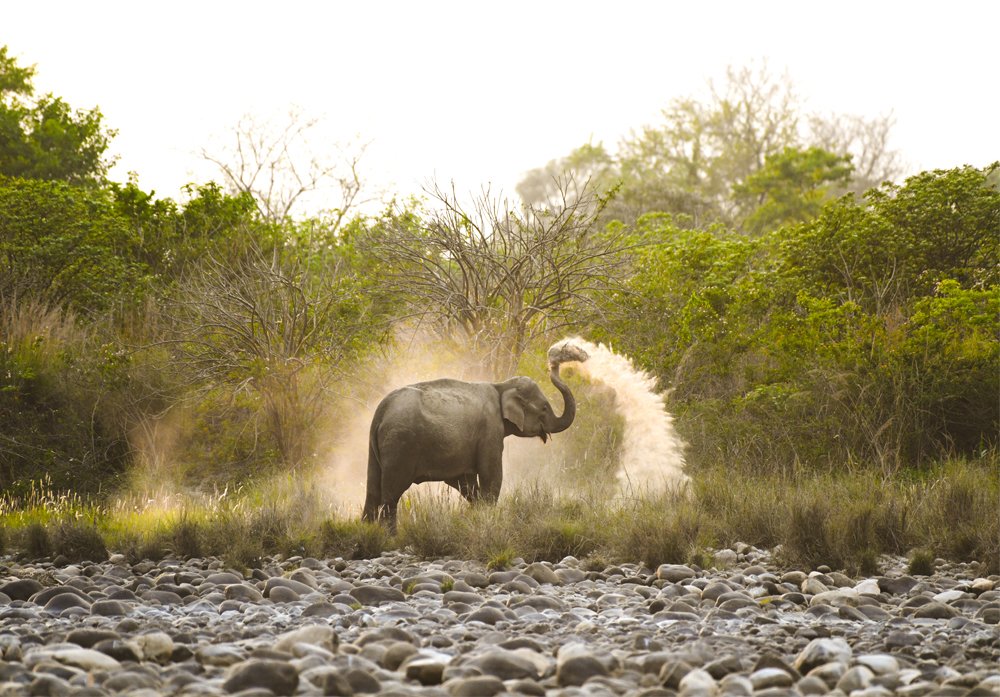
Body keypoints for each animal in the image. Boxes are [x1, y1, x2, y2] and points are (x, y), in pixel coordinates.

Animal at [362, 359, 581, 528]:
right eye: (544, 408)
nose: (554, 365)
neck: (501, 385)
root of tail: (382, 409)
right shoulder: (490, 431)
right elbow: (491, 475)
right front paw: (489, 518)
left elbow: (465, 482)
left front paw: (478, 513)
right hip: (401, 445)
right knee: (391, 494)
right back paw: (390, 537)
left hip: (377, 448)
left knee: (373, 490)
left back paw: (368, 532)